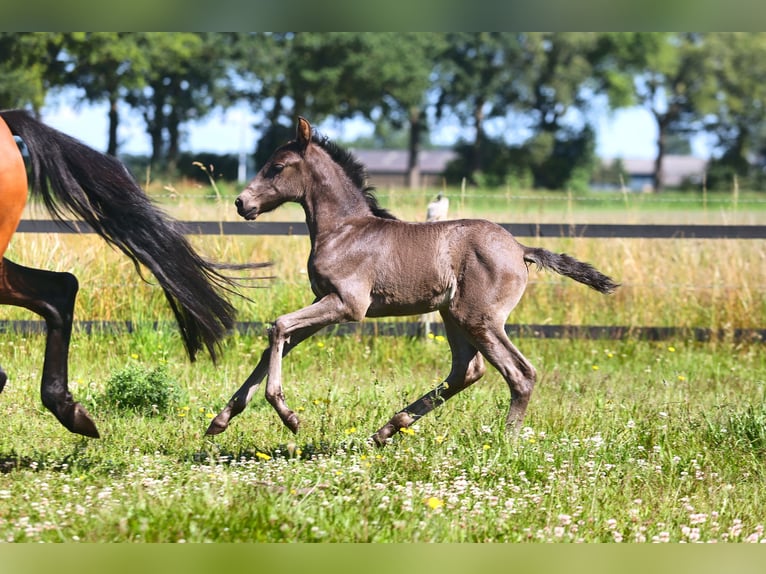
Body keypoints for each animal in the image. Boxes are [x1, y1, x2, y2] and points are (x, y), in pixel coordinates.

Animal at [208, 117, 616, 448]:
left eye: (276, 167)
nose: (241, 203)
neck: (343, 230)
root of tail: (519, 248)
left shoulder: (347, 305)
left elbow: (278, 327)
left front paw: (288, 415)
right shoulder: (323, 301)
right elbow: (276, 342)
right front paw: (220, 419)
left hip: (479, 319)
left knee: (520, 373)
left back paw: (505, 441)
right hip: (454, 316)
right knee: (467, 370)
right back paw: (387, 430)